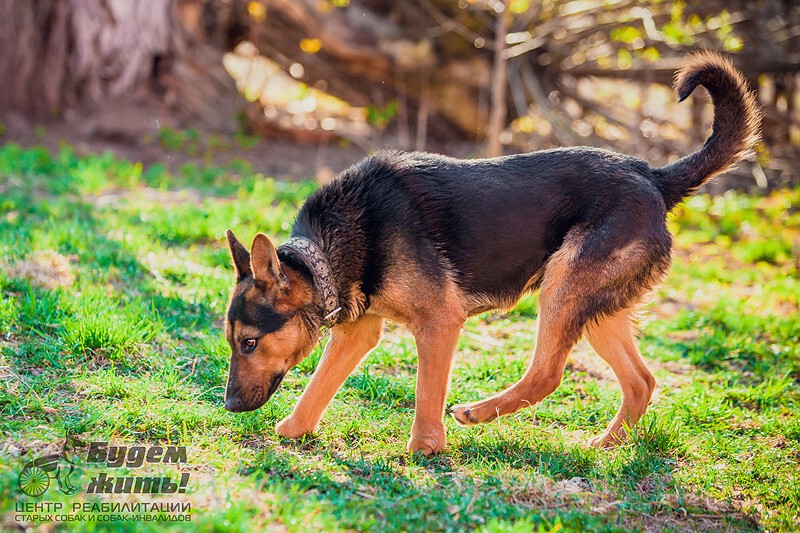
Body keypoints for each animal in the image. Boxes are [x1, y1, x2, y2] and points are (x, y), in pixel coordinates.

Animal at [222, 52, 760, 454]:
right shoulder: (358, 334)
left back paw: (477, 413)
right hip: (598, 309)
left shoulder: (440, 323)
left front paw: (425, 449)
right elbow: (317, 390)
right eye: (232, 343)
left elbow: (426, 396)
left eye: (248, 343)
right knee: (641, 381)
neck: (325, 252)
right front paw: (293, 431)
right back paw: (604, 446)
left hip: (563, 288)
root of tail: (653, 177)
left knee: (547, 374)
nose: (228, 406)